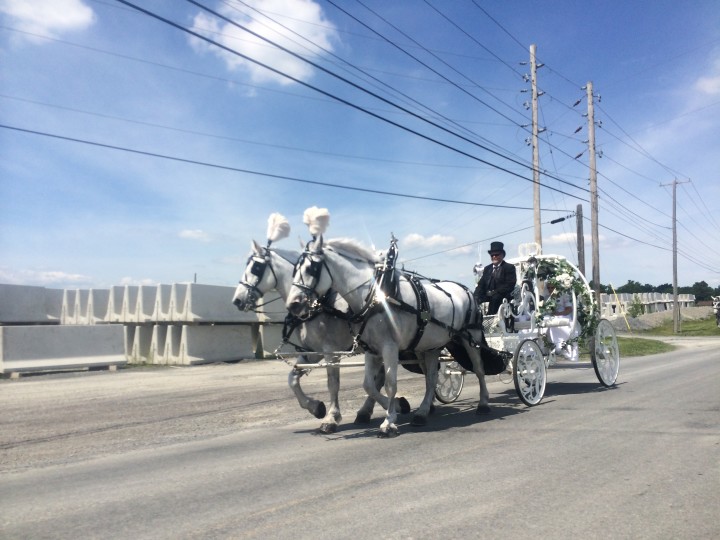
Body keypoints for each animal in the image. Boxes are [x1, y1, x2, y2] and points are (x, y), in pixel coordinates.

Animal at [233, 213, 408, 432]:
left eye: (256, 267)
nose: (237, 300)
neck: (316, 306)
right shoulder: (312, 352)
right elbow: (292, 378)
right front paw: (315, 407)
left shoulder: (330, 351)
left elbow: (332, 382)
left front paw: (331, 418)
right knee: (379, 378)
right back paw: (369, 411)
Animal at [286, 214, 496, 434]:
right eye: (294, 269)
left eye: (312, 268)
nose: (293, 304)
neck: (375, 295)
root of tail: (465, 289)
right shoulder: (370, 349)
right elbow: (368, 384)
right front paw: (395, 406)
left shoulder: (388, 347)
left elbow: (389, 383)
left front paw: (389, 420)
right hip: (430, 346)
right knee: (431, 378)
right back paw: (422, 412)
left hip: (471, 337)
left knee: (478, 368)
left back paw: (483, 404)